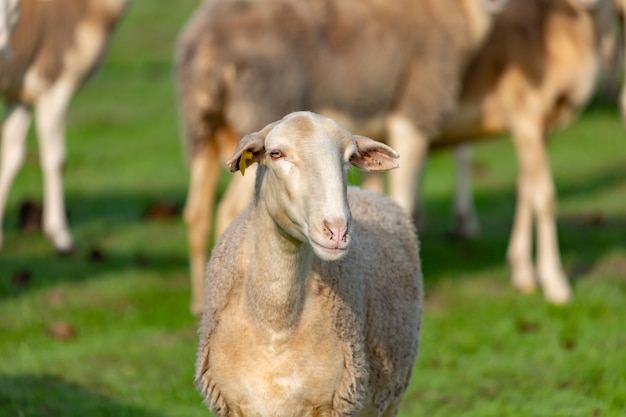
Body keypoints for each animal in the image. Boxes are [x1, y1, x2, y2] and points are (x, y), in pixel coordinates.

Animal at [176, 0, 508, 312]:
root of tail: (206, 47)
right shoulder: (416, 104)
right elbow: (409, 192)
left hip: (203, 133)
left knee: (196, 212)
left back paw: (201, 300)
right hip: (257, 112)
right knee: (228, 208)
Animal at [193, 109, 422, 416]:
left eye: (350, 157)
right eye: (276, 153)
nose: (337, 230)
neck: (276, 323)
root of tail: (368, 193)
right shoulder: (233, 406)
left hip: (388, 400)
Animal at [428, 0, 616, 302]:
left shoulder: (538, 129)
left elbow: (526, 189)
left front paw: (523, 274)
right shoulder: (526, 118)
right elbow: (545, 196)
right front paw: (556, 284)